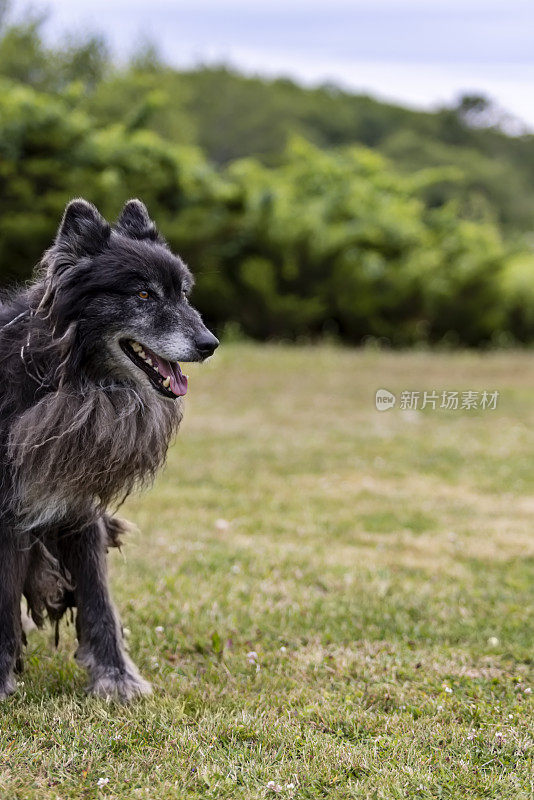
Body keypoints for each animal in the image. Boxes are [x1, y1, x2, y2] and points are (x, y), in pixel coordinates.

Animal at [0, 200, 220, 700]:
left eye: (183, 293)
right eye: (142, 294)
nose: (210, 344)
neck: (64, 375)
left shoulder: (78, 504)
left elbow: (99, 600)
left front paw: (116, 678)